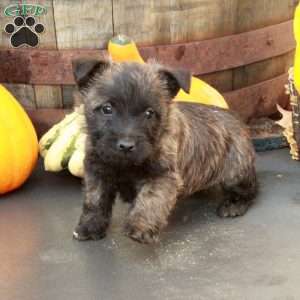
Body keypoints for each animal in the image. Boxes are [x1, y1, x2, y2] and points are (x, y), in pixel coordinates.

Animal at [71, 59, 256, 244]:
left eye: (149, 113)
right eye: (107, 109)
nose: (126, 146)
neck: (126, 164)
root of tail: (238, 121)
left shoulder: (162, 176)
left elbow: (150, 199)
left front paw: (141, 227)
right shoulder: (97, 171)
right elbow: (95, 201)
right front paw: (90, 227)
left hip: (235, 173)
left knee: (251, 189)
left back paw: (234, 205)